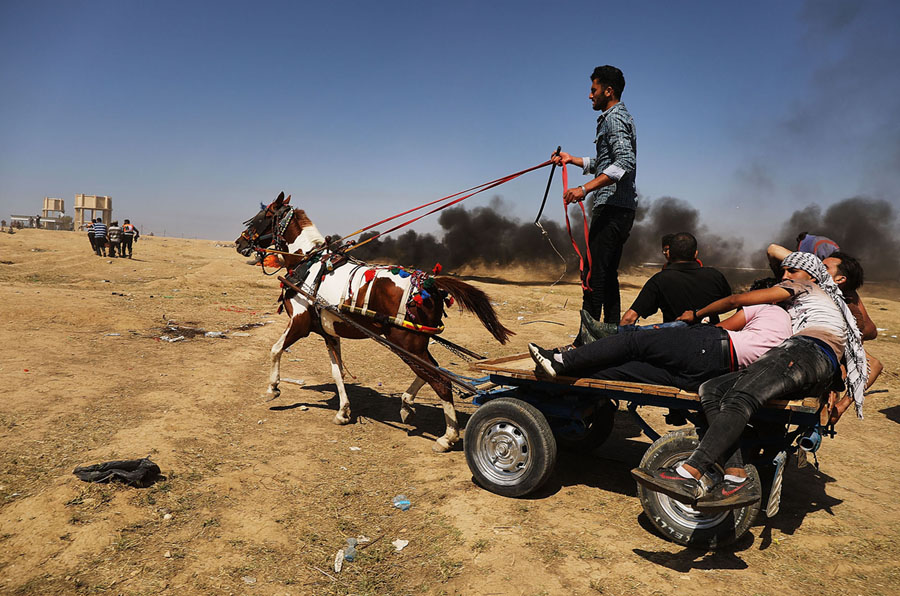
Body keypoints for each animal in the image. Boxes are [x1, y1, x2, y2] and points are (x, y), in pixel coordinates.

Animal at [235, 192, 513, 452]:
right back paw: (406, 404)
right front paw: (343, 411)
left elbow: (275, 349)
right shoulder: (328, 332)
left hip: (406, 343)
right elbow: (337, 372)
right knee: (432, 370)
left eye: (260, 217)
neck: (308, 263)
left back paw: (447, 437)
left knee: (440, 380)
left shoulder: (300, 323)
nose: (239, 242)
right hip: (415, 344)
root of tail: (429, 283)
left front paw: (272, 388)